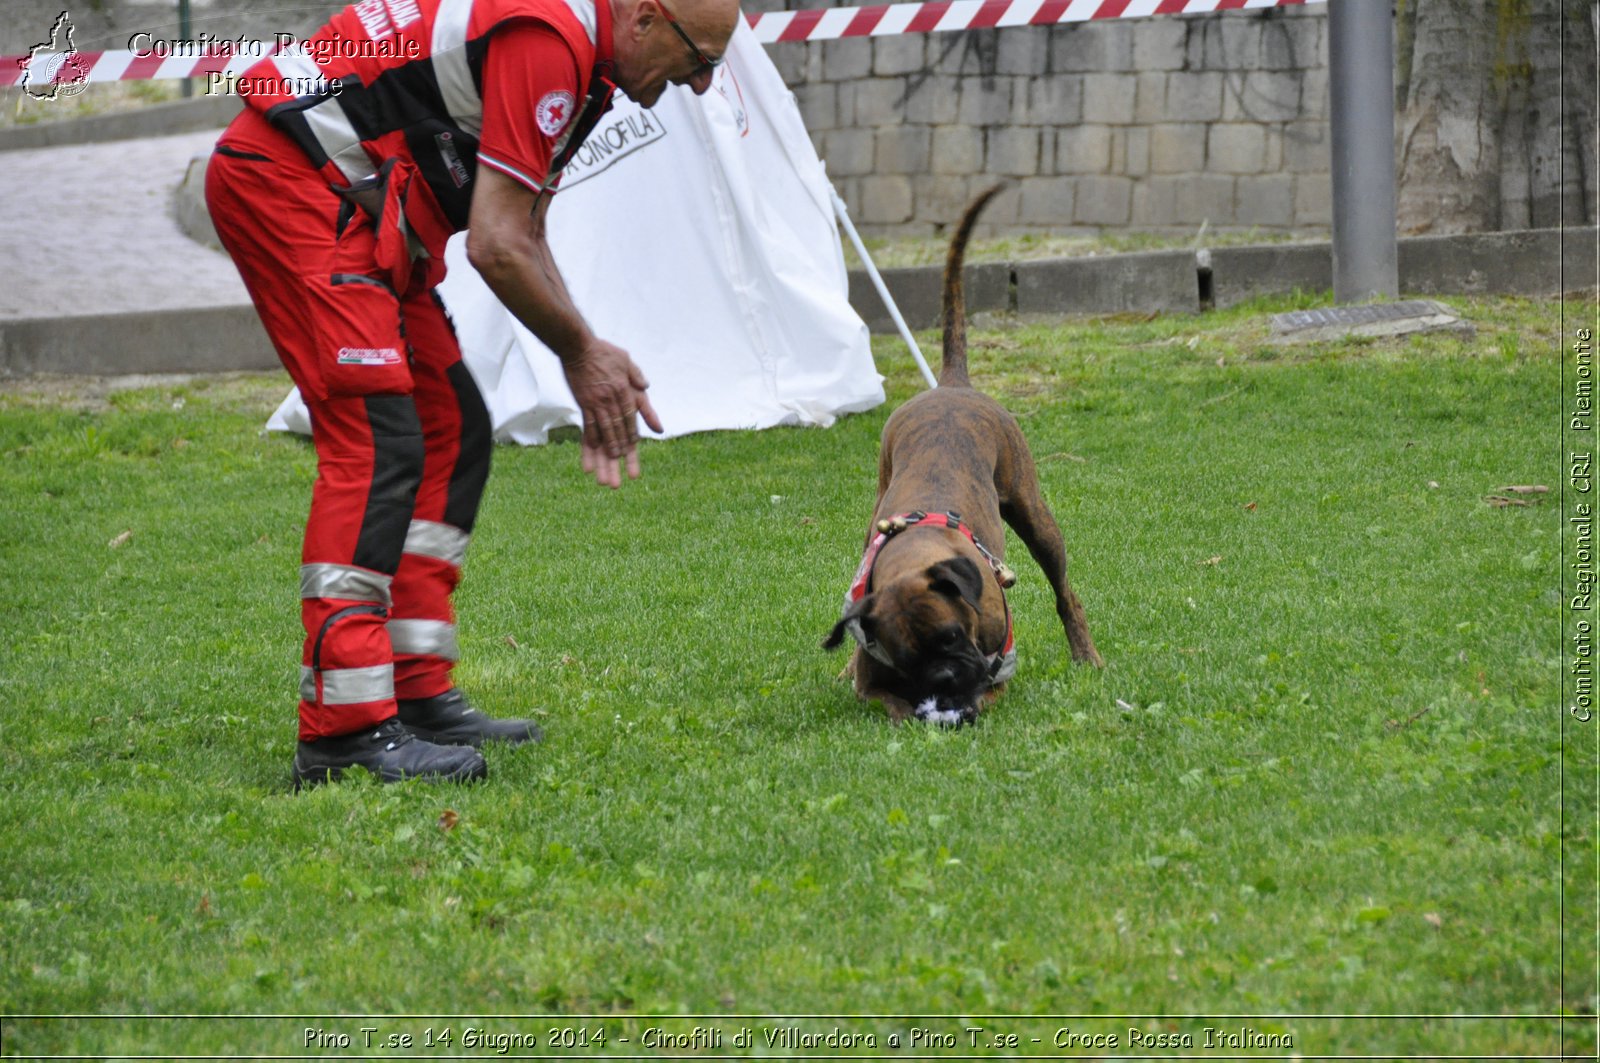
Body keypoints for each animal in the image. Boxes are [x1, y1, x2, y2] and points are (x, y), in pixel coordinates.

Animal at [825, 186, 1100, 726]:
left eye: (952, 635)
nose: (947, 679)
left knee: (1065, 593)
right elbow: (891, 702)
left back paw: (1086, 655)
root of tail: (951, 383)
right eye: (907, 658)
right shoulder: (874, 686)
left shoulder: (998, 672)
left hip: (1035, 516)